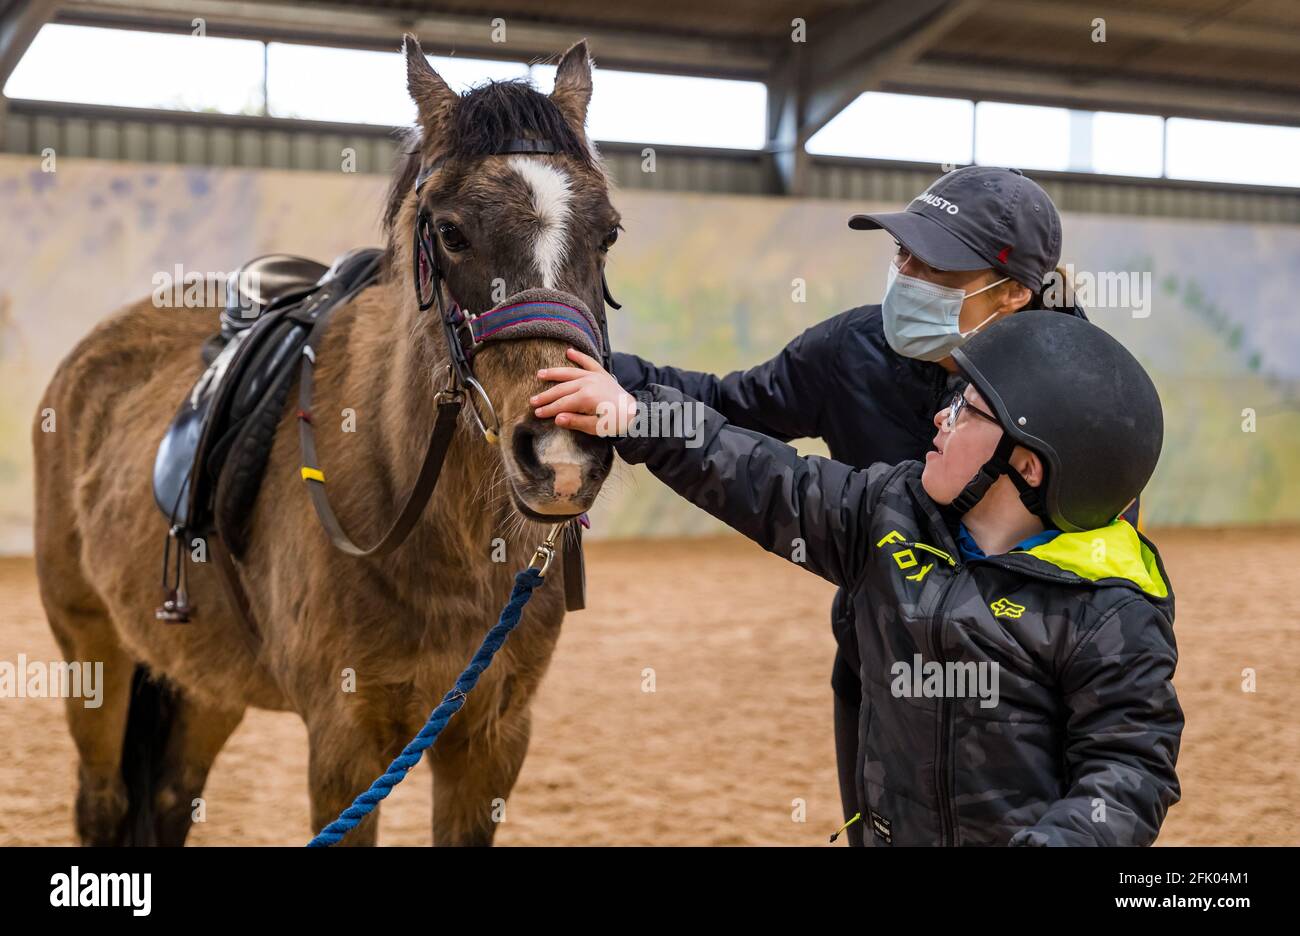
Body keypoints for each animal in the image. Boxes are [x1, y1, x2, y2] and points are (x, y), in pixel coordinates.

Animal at [30, 36, 618, 842]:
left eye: (608, 233)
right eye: (451, 231)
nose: (561, 455)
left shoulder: (491, 741)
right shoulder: (344, 744)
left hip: (206, 683)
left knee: (170, 798)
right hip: (92, 651)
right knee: (103, 801)